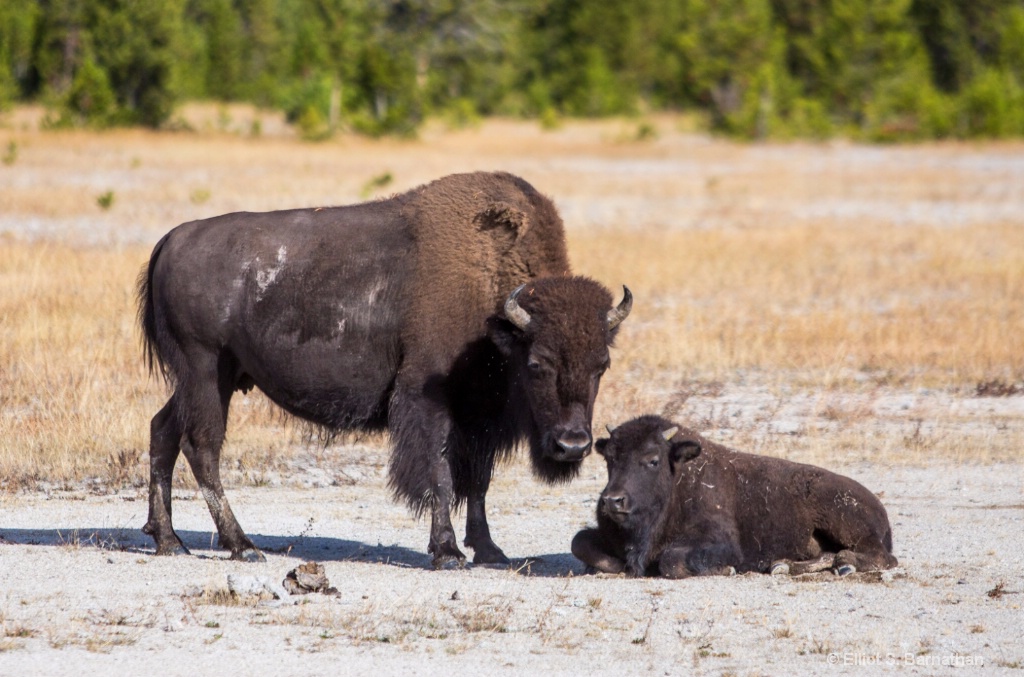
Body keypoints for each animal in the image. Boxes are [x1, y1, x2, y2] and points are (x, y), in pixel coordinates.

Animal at [138, 168, 630, 565]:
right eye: (536, 363)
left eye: (602, 365)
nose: (572, 445)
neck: (494, 307)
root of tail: (171, 240)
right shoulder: (429, 400)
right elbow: (440, 474)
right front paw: (447, 552)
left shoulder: (479, 416)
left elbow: (478, 482)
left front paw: (490, 550)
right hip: (204, 370)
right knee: (202, 446)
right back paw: (242, 546)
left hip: (210, 379)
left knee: (163, 430)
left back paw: (170, 541)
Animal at [573, 413, 901, 577]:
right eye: (609, 458)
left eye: (652, 459)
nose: (612, 501)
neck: (677, 479)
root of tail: (879, 507)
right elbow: (580, 542)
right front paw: (609, 567)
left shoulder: (721, 543)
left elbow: (671, 561)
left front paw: (728, 570)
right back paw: (784, 567)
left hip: (845, 523)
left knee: (882, 557)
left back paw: (845, 564)